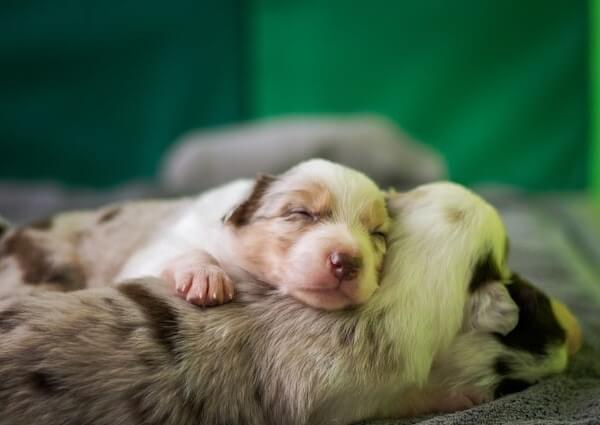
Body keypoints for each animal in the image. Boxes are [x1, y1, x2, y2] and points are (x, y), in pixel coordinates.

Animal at [0, 157, 390, 310]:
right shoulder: (157, 249)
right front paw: (206, 278)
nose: (347, 262)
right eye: (300, 213)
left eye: (378, 235)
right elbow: (188, 252)